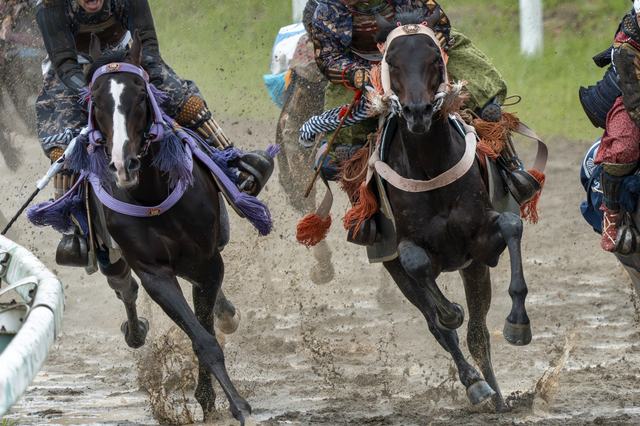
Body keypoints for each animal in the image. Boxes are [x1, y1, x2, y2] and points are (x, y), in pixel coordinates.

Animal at [84, 34, 250, 422]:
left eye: (140, 96)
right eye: (96, 101)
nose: (123, 164)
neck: (152, 194)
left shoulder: (207, 261)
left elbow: (205, 325)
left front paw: (222, 400)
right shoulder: (155, 273)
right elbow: (201, 338)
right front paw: (228, 402)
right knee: (123, 285)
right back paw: (134, 330)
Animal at [375, 14, 532, 410]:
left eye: (435, 59)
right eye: (392, 62)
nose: (418, 111)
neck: (430, 168)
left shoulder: (480, 246)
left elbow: (511, 225)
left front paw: (518, 323)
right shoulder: (407, 251)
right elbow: (421, 273)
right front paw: (450, 313)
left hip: (473, 269)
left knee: (478, 334)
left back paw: (498, 398)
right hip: (395, 271)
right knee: (439, 326)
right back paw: (476, 384)